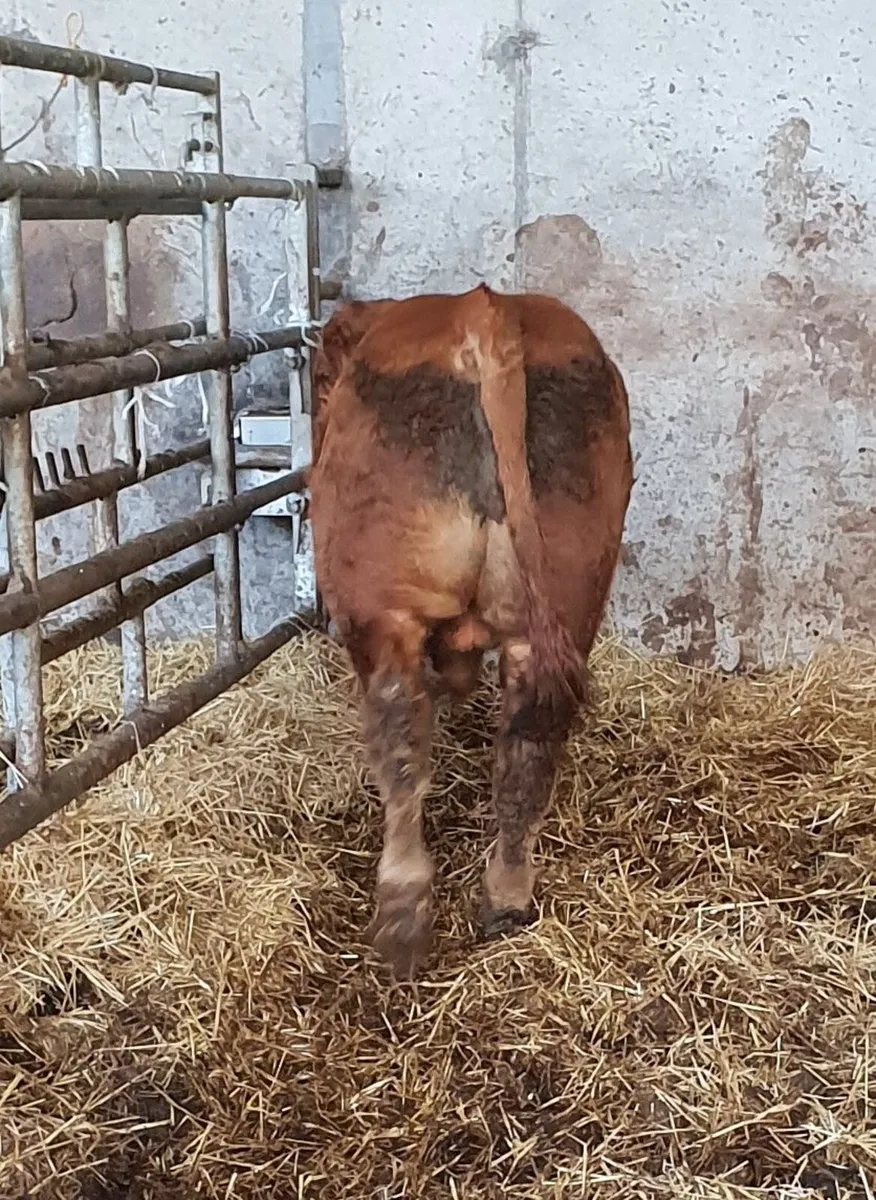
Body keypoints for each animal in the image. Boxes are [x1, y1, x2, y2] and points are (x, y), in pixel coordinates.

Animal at [308, 283, 632, 977]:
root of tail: (485, 312)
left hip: (383, 609)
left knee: (401, 743)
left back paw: (401, 920)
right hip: (567, 595)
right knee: (529, 745)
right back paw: (506, 900)